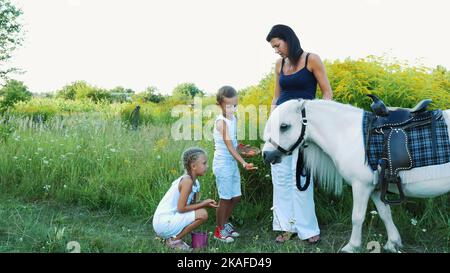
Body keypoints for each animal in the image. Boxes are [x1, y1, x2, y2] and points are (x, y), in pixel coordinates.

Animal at [262, 99, 450, 252]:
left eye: (284, 126)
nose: (266, 155)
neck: (349, 134)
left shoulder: (361, 186)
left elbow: (357, 217)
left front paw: (352, 246)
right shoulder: (376, 189)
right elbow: (385, 214)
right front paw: (393, 243)